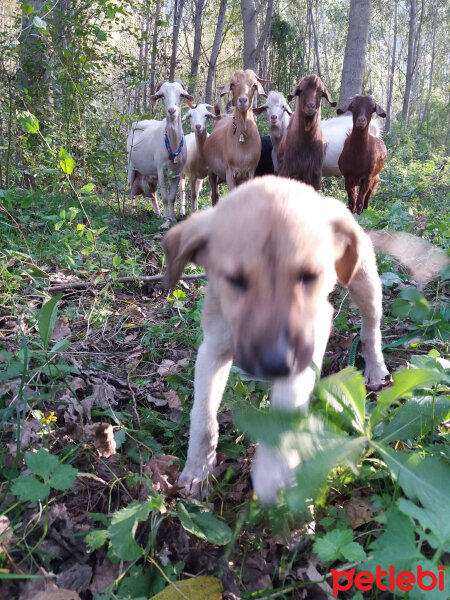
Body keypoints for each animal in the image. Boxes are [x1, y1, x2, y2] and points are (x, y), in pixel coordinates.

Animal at [127, 79, 196, 220]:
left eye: (181, 94)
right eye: (162, 95)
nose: (172, 111)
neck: (173, 146)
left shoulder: (177, 173)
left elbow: (172, 197)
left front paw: (172, 217)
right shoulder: (161, 170)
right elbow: (164, 197)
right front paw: (166, 217)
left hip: (150, 174)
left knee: (152, 194)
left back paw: (157, 213)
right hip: (131, 166)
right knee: (131, 189)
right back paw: (133, 211)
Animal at [162, 177, 446, 502]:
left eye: (309, 276)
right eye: (235, 281)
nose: (276, 364)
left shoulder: (310, 337)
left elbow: (289, 402)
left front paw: (273, 470)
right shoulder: (212, 348)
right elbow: (203, 417)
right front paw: (198, 470)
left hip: (366, 283)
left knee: (370, 329)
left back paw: (375, 368)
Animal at [204, 70, 270, 204]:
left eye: (254, 85)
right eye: (233, 85)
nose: (243, 100)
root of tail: (219, 117)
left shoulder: (250, 173)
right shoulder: (230, 172)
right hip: (211, 171)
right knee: (214, 194)